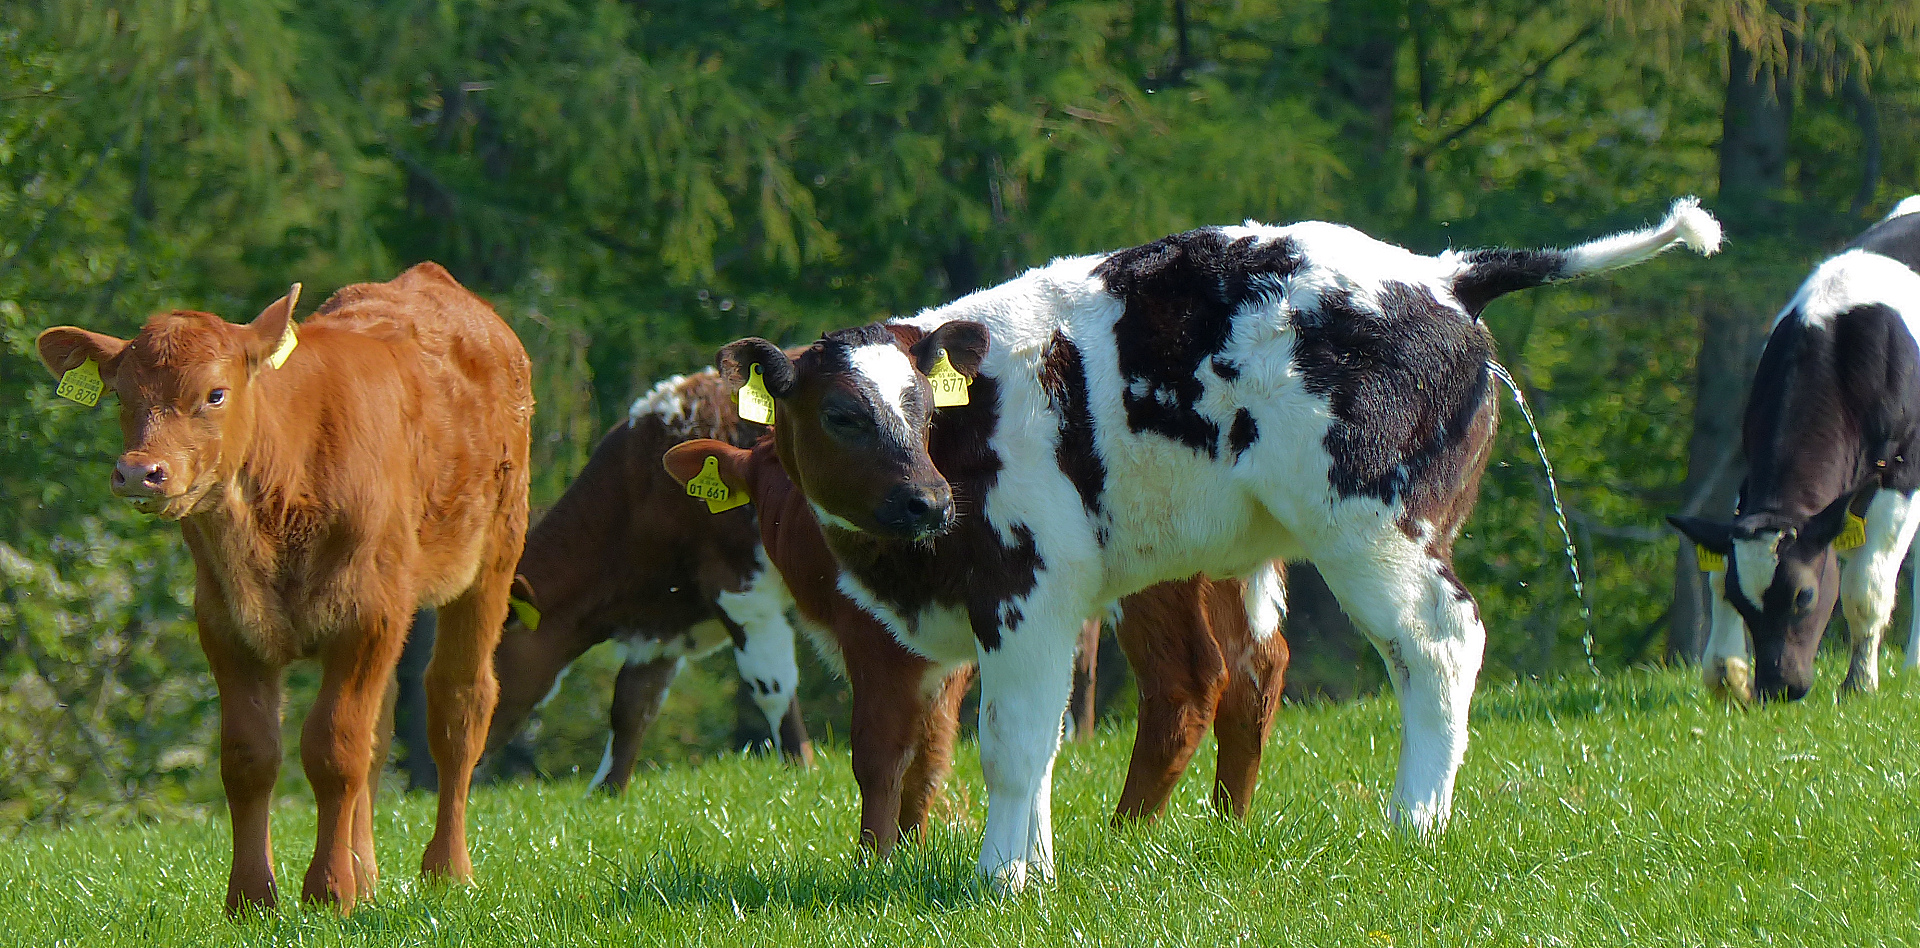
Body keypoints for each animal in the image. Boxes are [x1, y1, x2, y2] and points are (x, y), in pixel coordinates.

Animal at [35, 262, 533, 913]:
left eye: (215, 393)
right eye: (119, 394)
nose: (140, 472)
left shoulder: (368, 614)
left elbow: (334, 748)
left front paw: (328, 891)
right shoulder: (224, 623)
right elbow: (250, 757)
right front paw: (252, 898)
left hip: (492, 557)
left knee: (458, 705)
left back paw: (447, 871)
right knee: (381, 731)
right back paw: (369, 877)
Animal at [483, 372, 814, 790]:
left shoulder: (743, 595)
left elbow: (773, 687)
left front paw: (804, 774)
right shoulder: (661, 627)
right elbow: (631, 707)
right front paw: (604, 794)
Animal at [664, 437, 1290, 852]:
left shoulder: (878, 641)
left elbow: (880, 752)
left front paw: (874, 858)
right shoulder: (942, 652)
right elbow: (931, 748)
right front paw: (909, 849)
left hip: (1154, 585)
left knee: (1185, 683)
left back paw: (1121, 836)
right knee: (1257, 669)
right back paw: (1228, 823)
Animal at [1666, 196, 1920, 698]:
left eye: (1804, 596)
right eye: (1744, 602)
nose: (1778, 686)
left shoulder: (1905, 470)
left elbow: (1867, 585)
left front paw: (1860, 685)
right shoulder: (1751, 475)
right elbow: (1718, 568)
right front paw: (1726, 671)